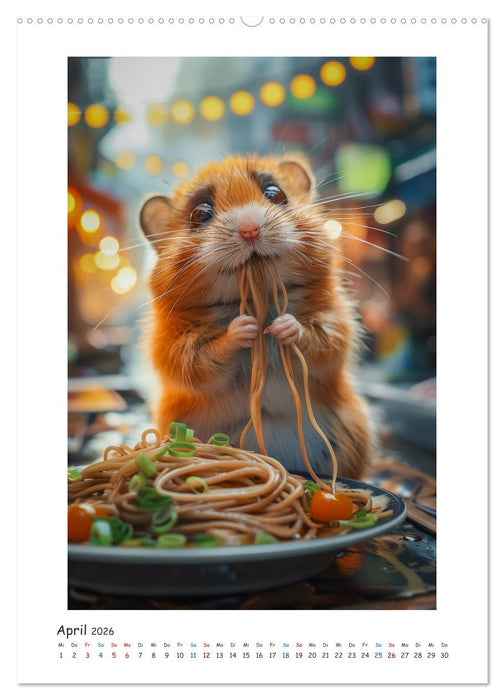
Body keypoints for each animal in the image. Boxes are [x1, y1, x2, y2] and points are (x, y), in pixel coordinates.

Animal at [140, 153, 373, 480]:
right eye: (200, 214)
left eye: (275, 194)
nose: (249, 229)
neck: (253, 299)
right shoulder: (175, 347)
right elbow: (205, 356)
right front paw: (244, 328)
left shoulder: (336, 322)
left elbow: (317, 340)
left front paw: (282, 326)